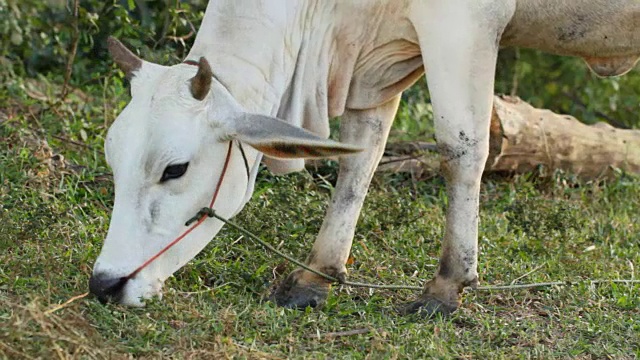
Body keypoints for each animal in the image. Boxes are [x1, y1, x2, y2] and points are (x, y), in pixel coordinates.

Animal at [91, 0, 640, 316]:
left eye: (175, 169)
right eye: (114, 164)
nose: (105, 284)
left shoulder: (463, 23)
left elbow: (461, 148)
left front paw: (447, 286)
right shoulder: (375, 65)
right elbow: (360, 159)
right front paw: (316, 275)